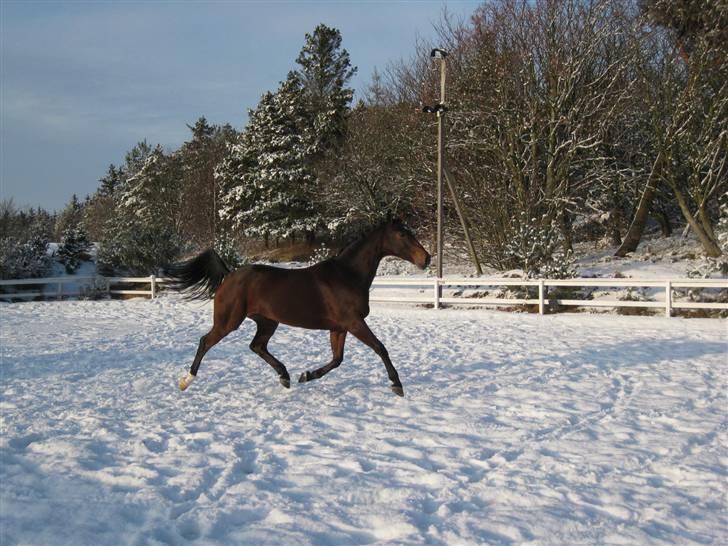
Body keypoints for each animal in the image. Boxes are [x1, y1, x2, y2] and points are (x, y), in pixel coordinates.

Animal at [165, 219, 432, 398]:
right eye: (402, 234)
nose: (426, 259)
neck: (347, 276)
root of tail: (229, 274)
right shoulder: (354, 323)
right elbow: (380, 348)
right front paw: (397, 384)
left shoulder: (339, 327)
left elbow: (337, 359)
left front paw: (307, 375)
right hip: (229, 321)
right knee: (206, 342)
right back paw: (186, 380)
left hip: (267, 321)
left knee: (257, 346)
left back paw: (285, 376)